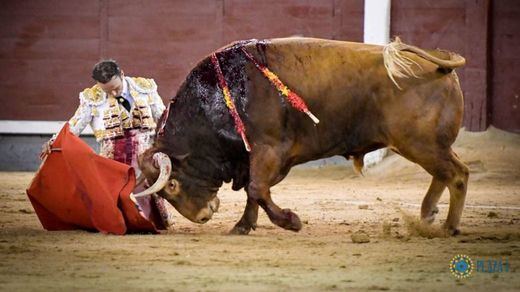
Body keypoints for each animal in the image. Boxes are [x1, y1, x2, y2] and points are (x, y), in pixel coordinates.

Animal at [137, 37, 468, 236]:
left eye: (173, 185)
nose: (202, 216)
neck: (220, 97)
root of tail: (438, 59)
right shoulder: (255, 156)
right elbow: (254, 191)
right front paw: (243, 226)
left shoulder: (268, 149)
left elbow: (257, 188)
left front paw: (290, 222)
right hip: (427, 145)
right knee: (448, 172)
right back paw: (427, 215)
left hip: (419, 143)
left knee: (457, 174)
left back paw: (447, 227)